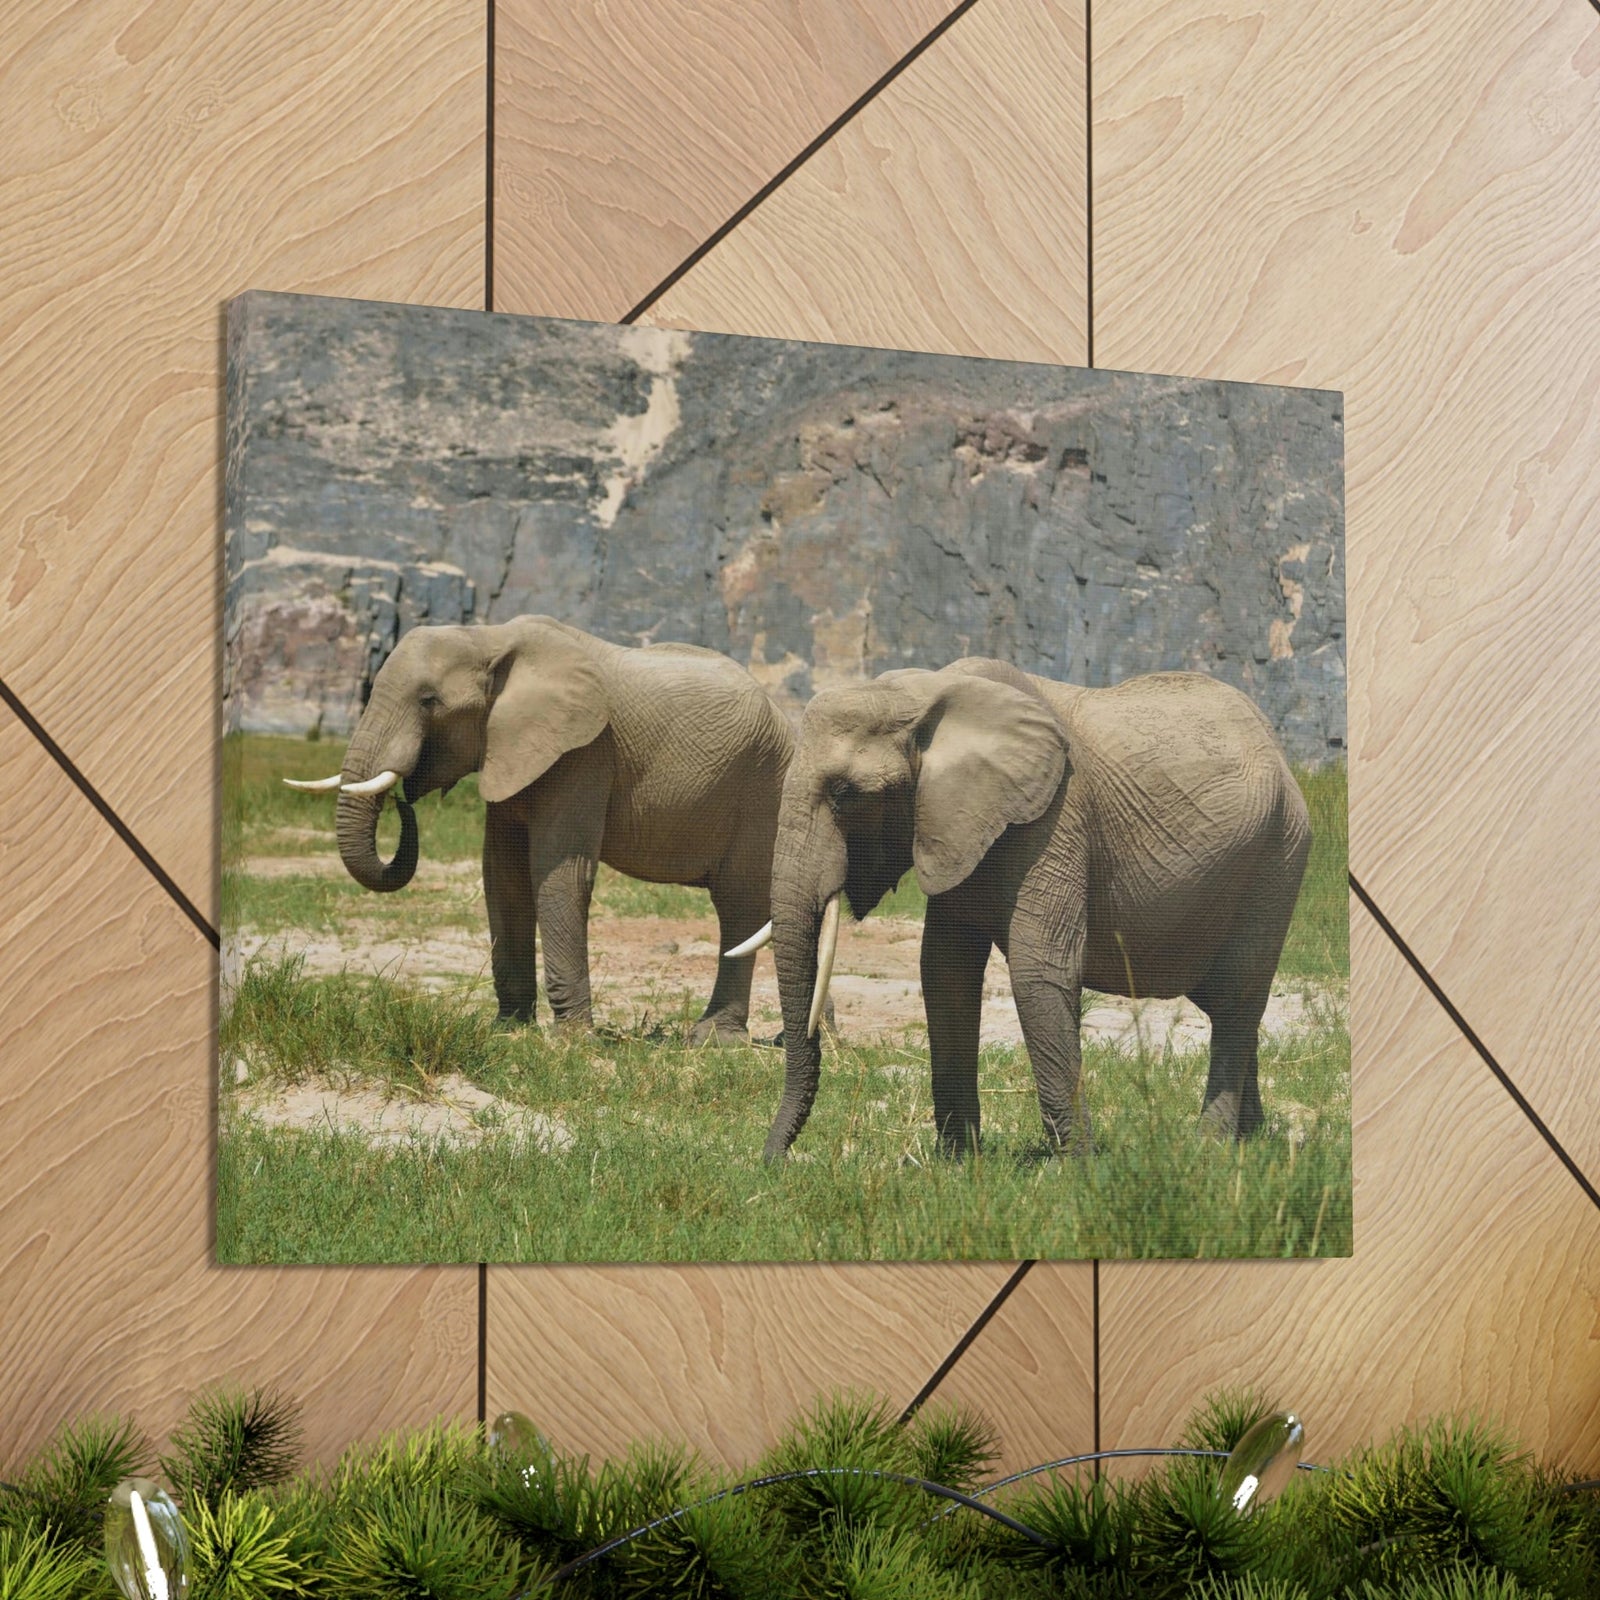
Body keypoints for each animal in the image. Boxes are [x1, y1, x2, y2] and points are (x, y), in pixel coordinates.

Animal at [285, 616, 794, 1043]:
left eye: (429, 701)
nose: (401, 799)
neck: (488, 637)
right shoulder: (510, 749)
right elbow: (502, 876)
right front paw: (509, 1030)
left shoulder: (585, 751)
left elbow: (560, 874)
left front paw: (571, 1042)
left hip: (764, 787)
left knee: (738, 905)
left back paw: (713, 1040)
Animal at [740, 658, 1311, 1160]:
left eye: (844, 794)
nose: (773, 1162)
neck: (924, 696)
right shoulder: (955, 825)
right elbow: (944, 971)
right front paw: (958, 1163)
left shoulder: (1055, 818)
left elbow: (1040, 972)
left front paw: (1078, 1167)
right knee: (1226, 1006)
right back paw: (1252, 1140)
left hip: (1278, 858)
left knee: (1236, 998)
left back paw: (1210, 1150)